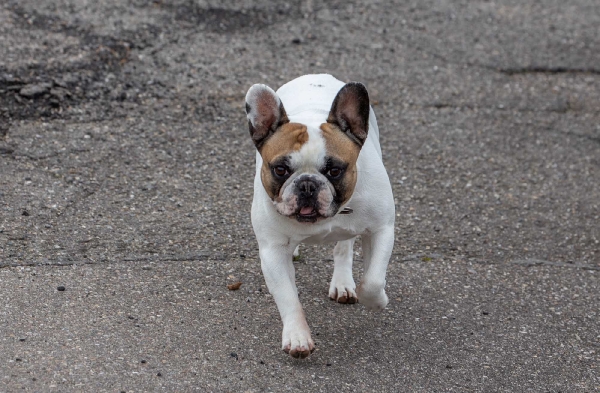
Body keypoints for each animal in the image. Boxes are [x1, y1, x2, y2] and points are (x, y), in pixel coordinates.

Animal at [244, 74, 394, 358]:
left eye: (334, 170)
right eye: (280, 169)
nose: (307, 184)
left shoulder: (382, 228)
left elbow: (372, 280)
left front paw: (377, 301)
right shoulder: (272, 252)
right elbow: (288, 298)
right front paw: (297, 337)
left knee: (344, 247)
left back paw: (343, 282)